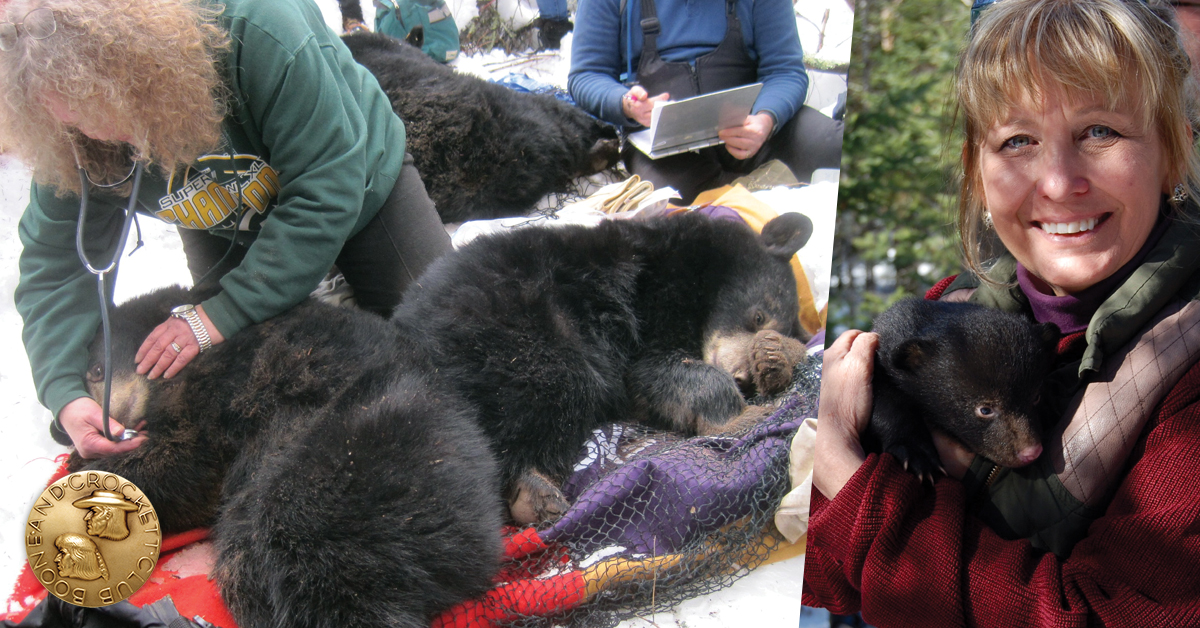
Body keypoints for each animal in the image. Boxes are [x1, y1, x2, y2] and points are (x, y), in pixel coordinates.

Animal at [69, 289, 503, 628]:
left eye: (99, 369)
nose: (112, 423)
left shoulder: (219, 393)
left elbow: (189, 466)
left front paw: (87, 468)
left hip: (364, 446)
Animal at [391, 211, 813, 523]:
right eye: (756, 315)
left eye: (765, 323)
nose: (744, 378)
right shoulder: (654, 297)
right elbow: (652, 370)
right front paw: (746, 416)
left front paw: (776, 359)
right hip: (525, 336)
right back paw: (532, 491)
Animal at [863, 298, 1059, 480]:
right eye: (985, 410)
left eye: (1036, 397)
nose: (1031, 452)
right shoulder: (882, 362)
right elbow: (887, 402)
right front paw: (917, 454)